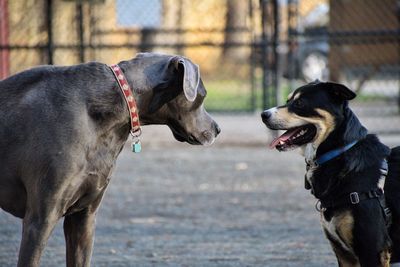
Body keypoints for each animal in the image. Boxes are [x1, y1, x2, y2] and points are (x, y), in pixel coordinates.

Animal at [260, 81, 400, 267]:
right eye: (288, 100)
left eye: (300, 103)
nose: (263, 114)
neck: (339, 156)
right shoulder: (344, 255)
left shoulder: (372, 250)